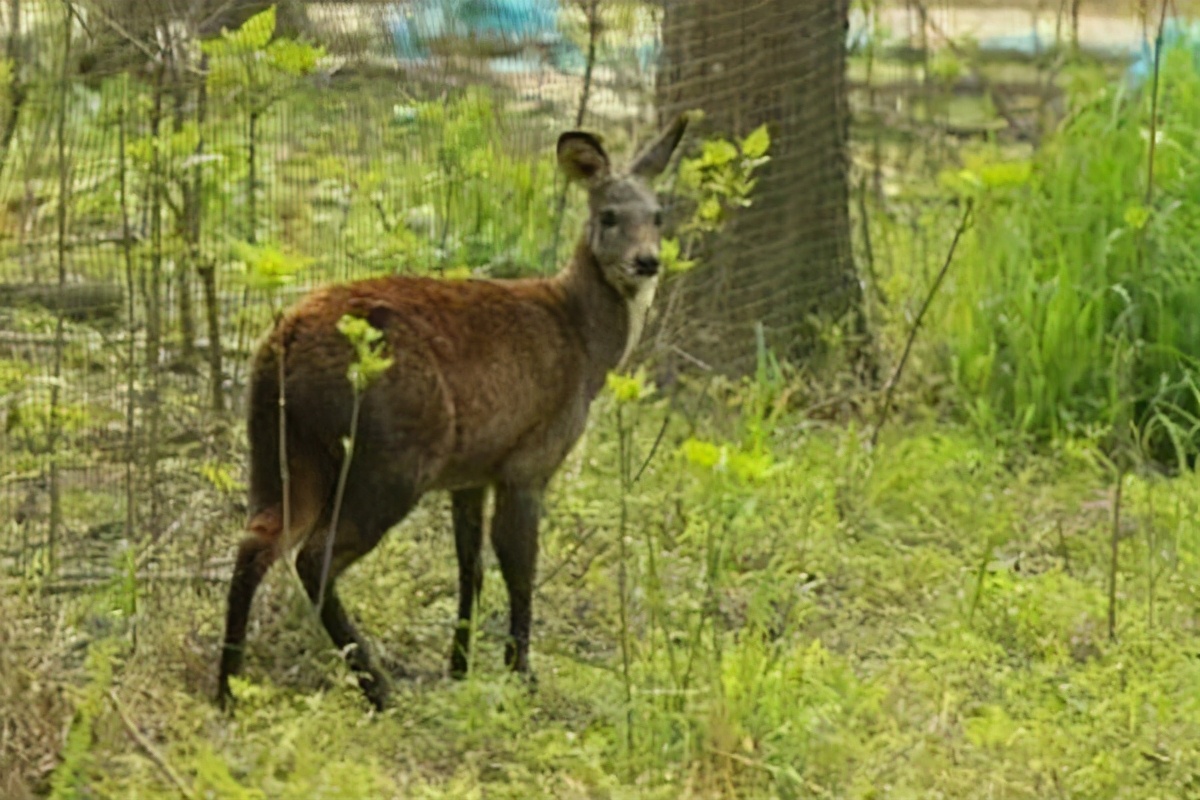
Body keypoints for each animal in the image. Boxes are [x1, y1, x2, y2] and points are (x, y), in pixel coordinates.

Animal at [211, 113, 691, 714]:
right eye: (608, 216)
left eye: (658, 216)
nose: (647, 262)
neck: (583, 344)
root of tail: (284, 340)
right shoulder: (528, 459)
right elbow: (519, 568)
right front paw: (521, 675)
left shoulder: (471, 472)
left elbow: (471, 567)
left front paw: (460, 670)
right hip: (393, 456)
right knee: (313, 556)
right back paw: (378, 688)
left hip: (281, 445)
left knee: (257, 540)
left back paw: (227, 688)